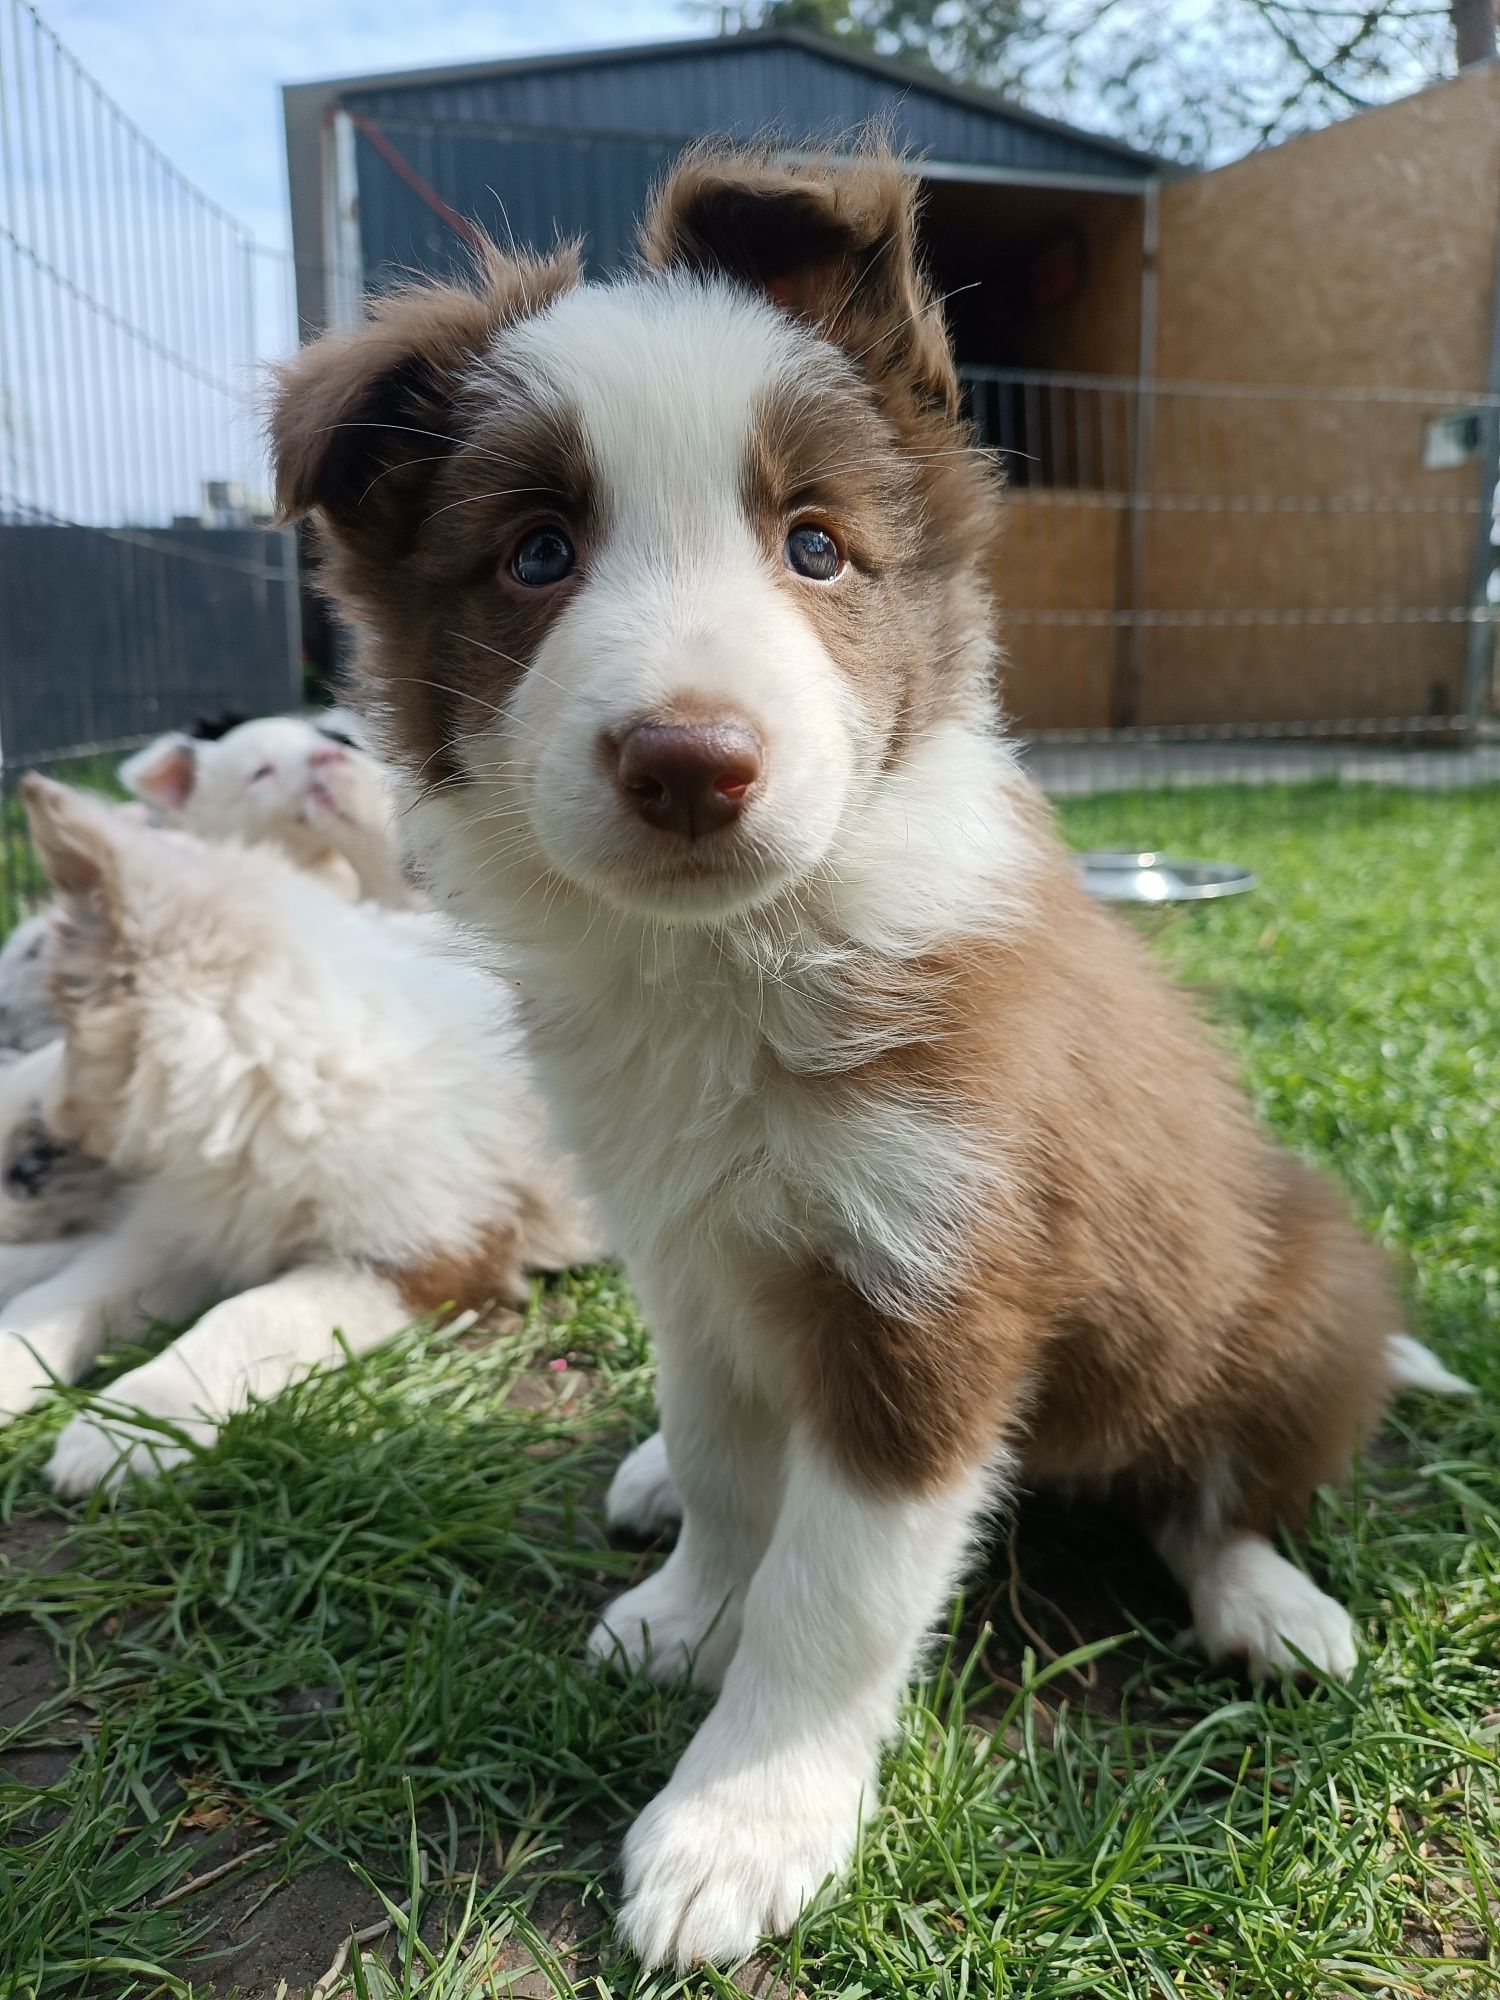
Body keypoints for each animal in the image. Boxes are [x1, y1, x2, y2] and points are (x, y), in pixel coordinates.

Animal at [270, 152, 1472, 1968]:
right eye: (537, 552)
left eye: (816, 548)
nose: (690, 760)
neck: (735, 963)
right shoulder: (685, 1250)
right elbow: (721, 1461)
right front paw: (686, 1604)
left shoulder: (931, 1284)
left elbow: (832, 1591)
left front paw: (741, 1822)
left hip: (1293, 1294)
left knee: (1218, 1492)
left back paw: (1273, 1604)